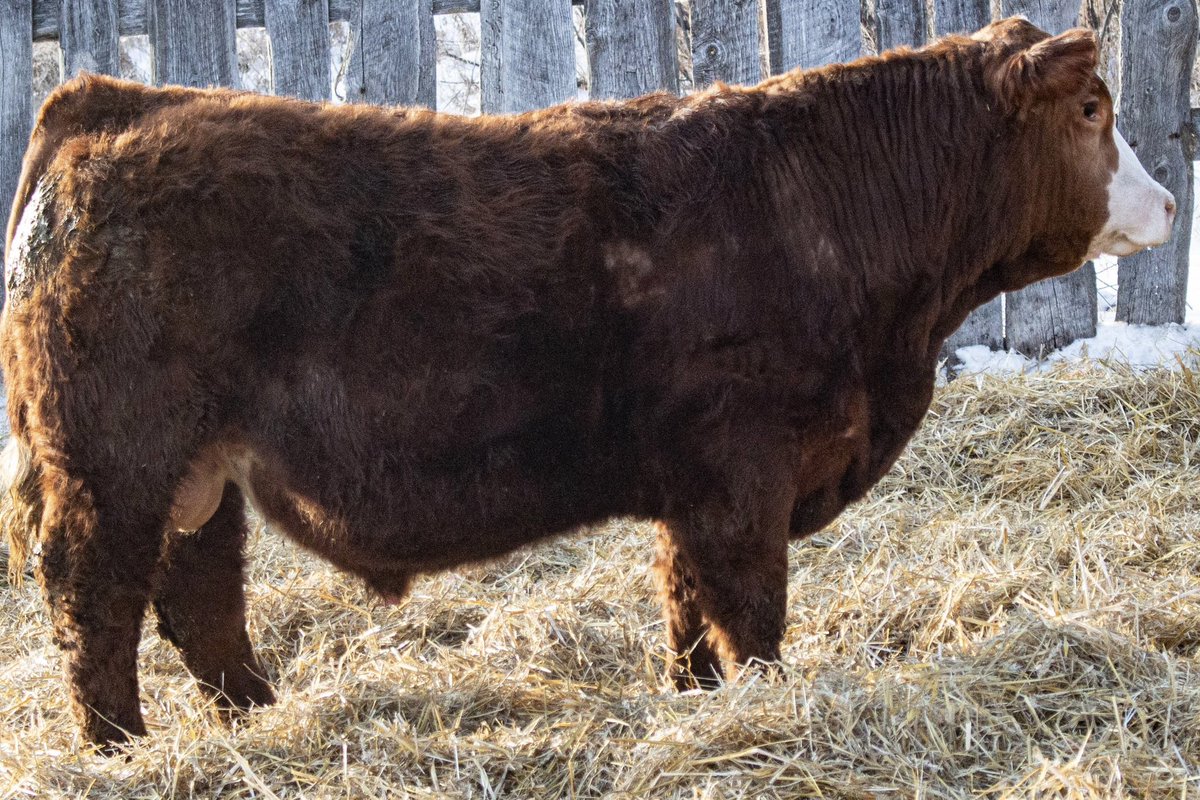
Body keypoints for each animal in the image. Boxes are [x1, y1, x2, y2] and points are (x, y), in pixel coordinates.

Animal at [0, 17, 1175, 747]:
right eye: (1090, 110)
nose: (1167, 204)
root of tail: (110, 100)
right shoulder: (744, 469)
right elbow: (750, 607)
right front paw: (765, 705)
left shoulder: (694, 486)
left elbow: (687, 604)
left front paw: (692, 700)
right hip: (115, 463)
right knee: (93, 603)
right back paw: (119, 750)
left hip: (198, 475)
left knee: (200, 599)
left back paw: (255, 715)